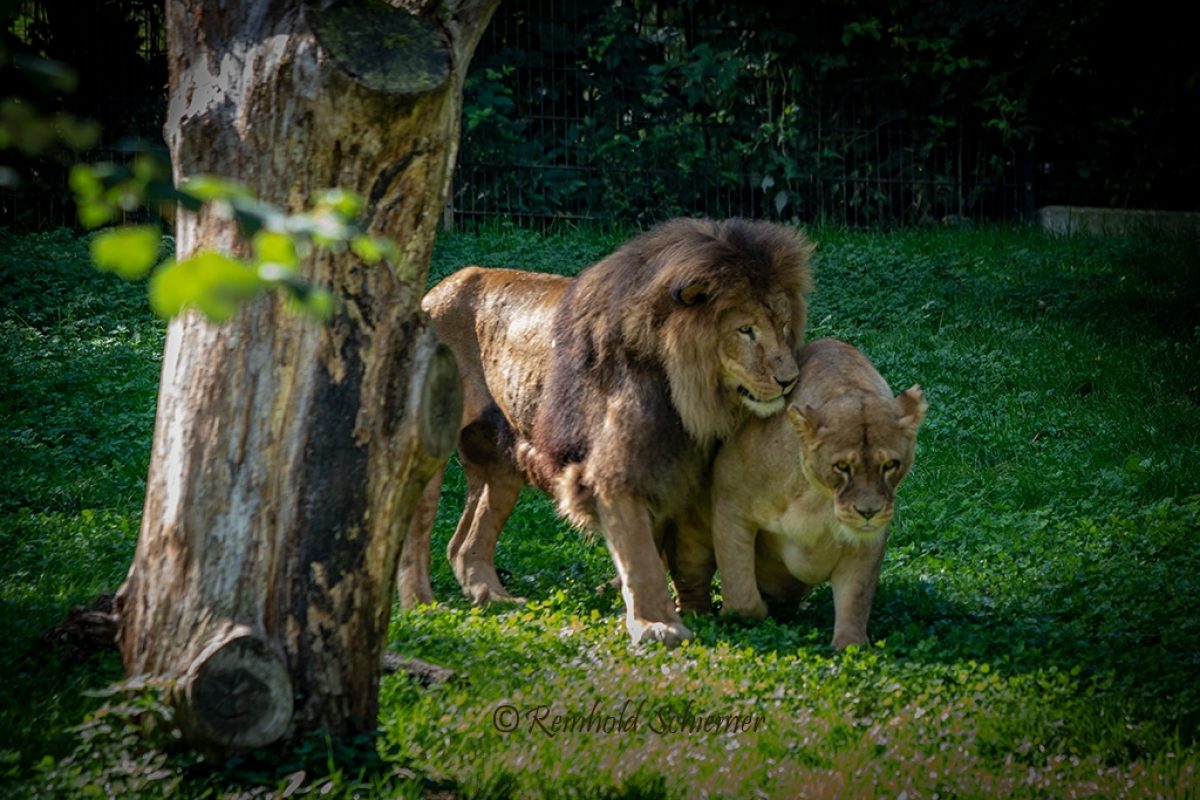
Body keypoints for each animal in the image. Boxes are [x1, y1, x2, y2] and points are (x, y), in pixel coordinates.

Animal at [403, 215, 816, 647]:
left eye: (784, 324)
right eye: (746, 330)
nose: (789, 380)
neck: (685, 394)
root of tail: (438, 289)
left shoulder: (673, 468)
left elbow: (663, 549)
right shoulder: (616, 468)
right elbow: (640, 556)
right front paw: (656, 624)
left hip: (502, 464)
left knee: (463, 544)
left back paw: (493, 597)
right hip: (430, 446)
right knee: (415, 533)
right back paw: (420, 606)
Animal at [667, 338, 926, 652]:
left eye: (890, 465)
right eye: (842, 467)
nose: (869, 512)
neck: (818, 496)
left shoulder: (868, 542)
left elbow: (855, 597)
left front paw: (849, 644)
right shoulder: (731, 507)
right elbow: (741, 594)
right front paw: (753, 615)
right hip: (690, 539)